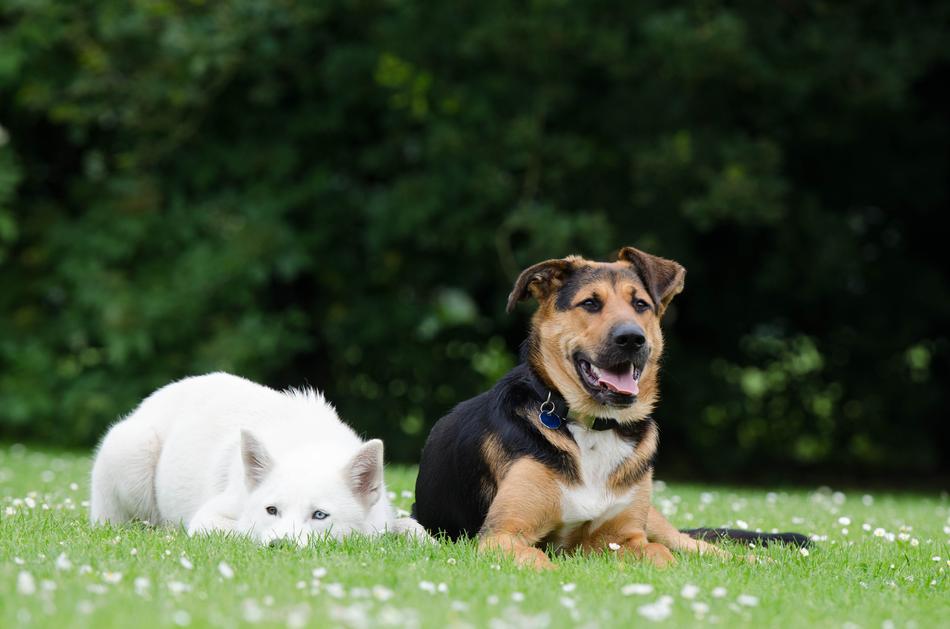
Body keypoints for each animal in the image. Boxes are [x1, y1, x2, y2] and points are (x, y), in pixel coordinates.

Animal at [89, 370, 432, 544]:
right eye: (272, 510)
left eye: (320, 515)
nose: (279, 546)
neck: (308, 444)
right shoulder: (210, 518)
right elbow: (242, 529)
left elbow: (411, 528)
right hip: (133, 458)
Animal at [412, 247, 808, 568]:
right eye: (590, 303)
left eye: (641, 305)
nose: (632, 338)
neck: (594, 425)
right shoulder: (503, 535)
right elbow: (540, 561)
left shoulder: (625, 537)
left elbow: (662, 556)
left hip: (657, 521)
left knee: (693, 545)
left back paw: (759, 562)